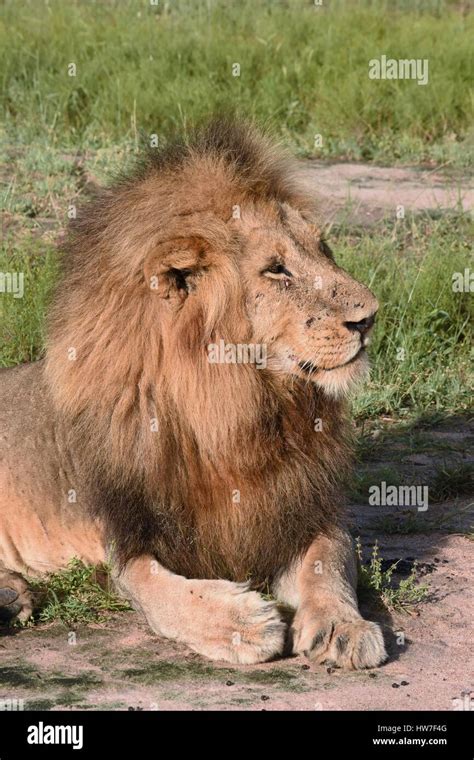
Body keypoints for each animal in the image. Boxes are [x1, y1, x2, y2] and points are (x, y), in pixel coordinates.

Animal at [0, 117, 386, 664]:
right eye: (276, 269)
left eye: (322, 248)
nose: (369, 317)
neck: (239, 410)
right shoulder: (129, 541)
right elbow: (163, 592)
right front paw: (241, 622)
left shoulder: (300, 511)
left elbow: (327, 564)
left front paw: (343, 626)